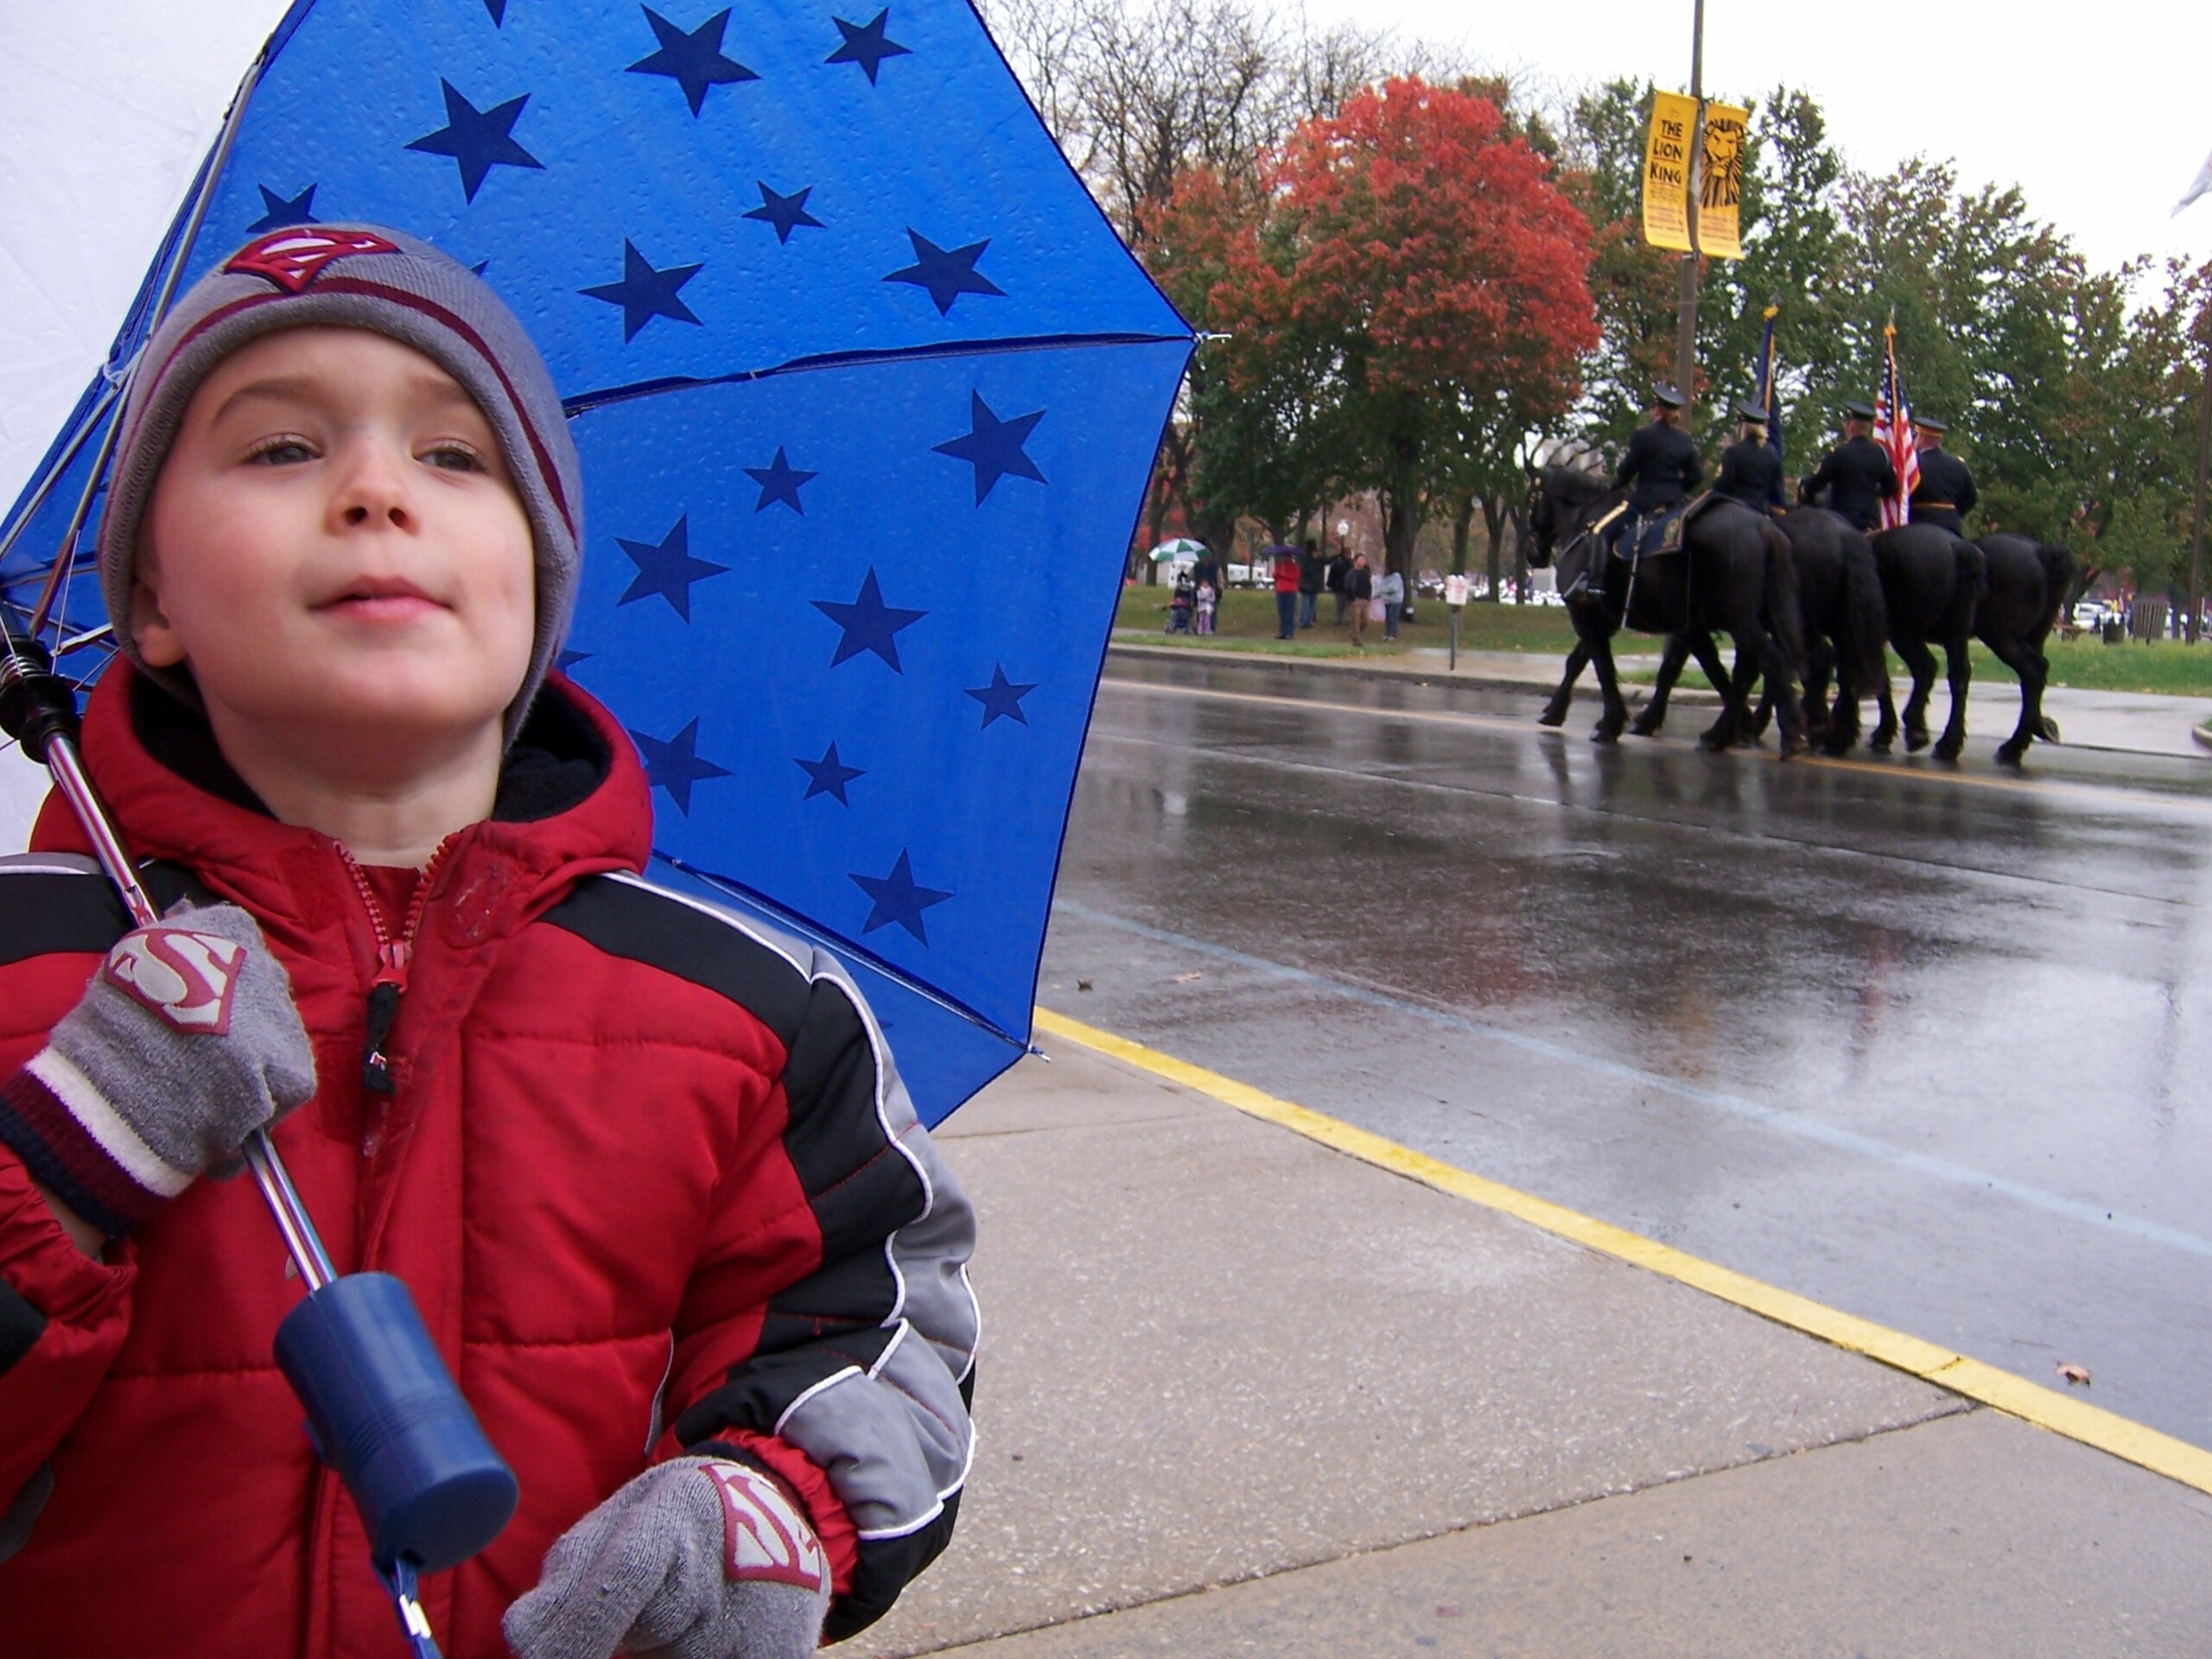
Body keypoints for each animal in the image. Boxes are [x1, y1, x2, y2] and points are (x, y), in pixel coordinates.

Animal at [1530, 464, 1804, 756]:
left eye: (1531, 496)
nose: (1533, 554)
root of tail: (1764, 528)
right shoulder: (1610, 619)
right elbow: (1581, 661)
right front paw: (1556, 711)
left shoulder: (1585, 617)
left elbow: (1602, 667)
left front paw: (1609, 724)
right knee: (1755, 668)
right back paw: (1733, 731)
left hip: (1741, 622)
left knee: (1770, 663)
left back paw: (1785, 735)